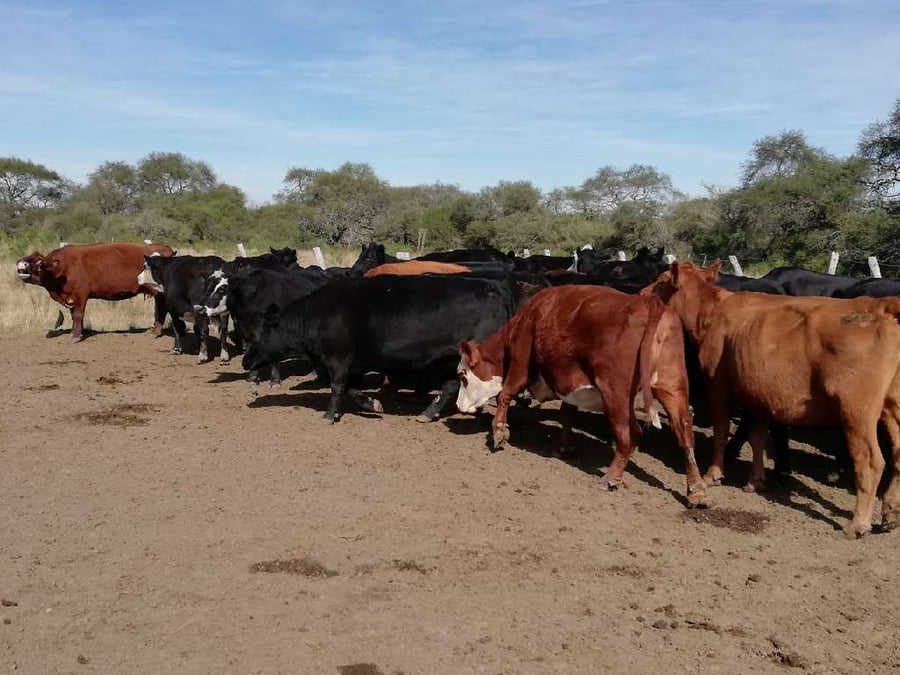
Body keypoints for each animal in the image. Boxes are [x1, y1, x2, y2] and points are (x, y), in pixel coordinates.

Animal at [16, 242, 174, 341]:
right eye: (25, 259)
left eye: (38, 263)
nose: (21, 263)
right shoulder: (72, 298)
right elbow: (74, 315)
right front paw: (76, 332)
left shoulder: (80, 294)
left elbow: (78, 314)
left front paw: (75, 337)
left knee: (161, 309)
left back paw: (155, 332)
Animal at [242, 275, 518, 423]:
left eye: (256, 335)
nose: (245, 362)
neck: (315, 315)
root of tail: (495, 287)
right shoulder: (352, 364)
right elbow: (351, 389)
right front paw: (372, 404)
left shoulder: (337, 360)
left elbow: (337, 387)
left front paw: (330, 415)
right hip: (451, 360)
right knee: (450, 386)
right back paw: (428, 412)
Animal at [455, 285, 703, 505]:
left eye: (462, 375)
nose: (459, 406)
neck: (528, 317)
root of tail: (650, 303)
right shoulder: (570, 385)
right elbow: (567, 414)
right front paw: (564, 449)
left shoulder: (521, 361)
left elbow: (505, 393)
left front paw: (499, 432)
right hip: (673, 388)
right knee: (684, 433)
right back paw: (696, 490)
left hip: (616, 393)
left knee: (630, 433)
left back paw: (611, 478)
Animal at [650, 261, 900, 537]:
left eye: (660, 281)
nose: (643, 292)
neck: (713, 312)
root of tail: (880, 306)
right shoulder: (758, 397)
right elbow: (757, 438)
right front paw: (755, 481)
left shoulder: (718, 388)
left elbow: (721, 432)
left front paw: (714, 474)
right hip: (892, 408)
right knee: (898, 455)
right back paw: (890, 513)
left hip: (856, 412)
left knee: (871, 462)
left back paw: (857, 524)